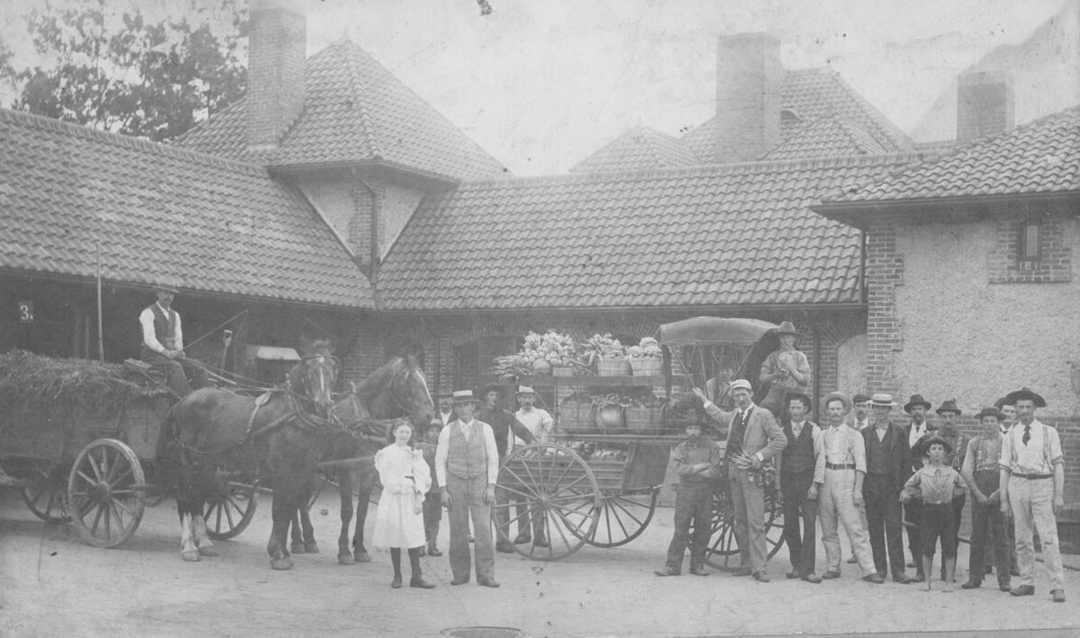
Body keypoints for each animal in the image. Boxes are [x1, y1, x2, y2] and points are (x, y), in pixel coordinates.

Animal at [156, 338, 339, 569]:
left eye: (333, 367)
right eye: (308, 367)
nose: (323, 404)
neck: (291, 415)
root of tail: (183, 400)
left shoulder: (304, 470)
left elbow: (291, 508)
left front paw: (285, 550)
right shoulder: (282, 470)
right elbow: (280, 509)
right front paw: (278, 554)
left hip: (207, 462)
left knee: (198, 496)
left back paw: (205, 544)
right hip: (188, 460)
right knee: (184, 497)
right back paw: (189, 547)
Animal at [291, 356, 438, 565]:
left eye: (424, 377)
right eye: (409, 380)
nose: (429, 414)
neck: (366, 423)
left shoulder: (369, 472)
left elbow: (362, 511)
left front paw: (360, 549)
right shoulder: (346, 471)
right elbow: (347, 511)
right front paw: (344, 551)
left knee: (301, 501)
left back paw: (309, 540)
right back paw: (297, 540)